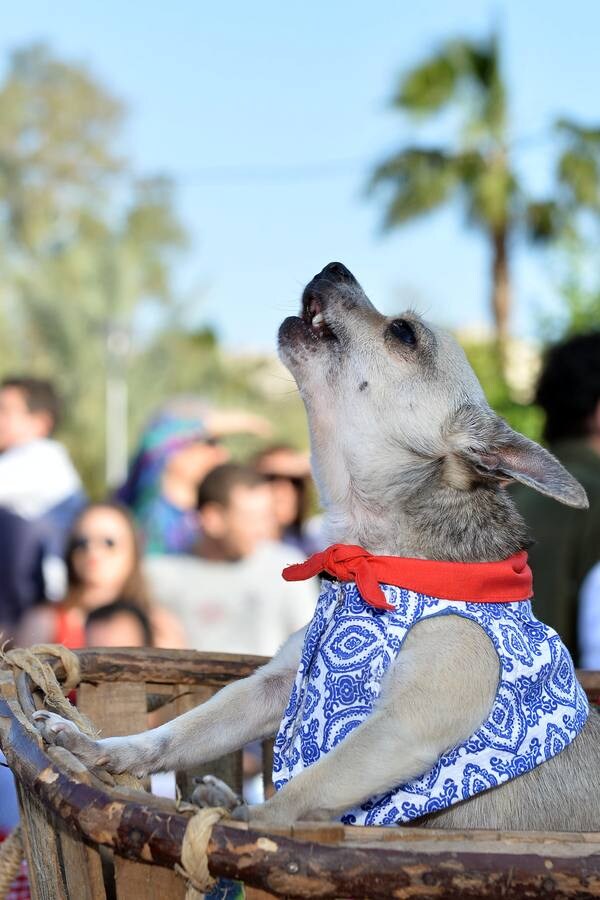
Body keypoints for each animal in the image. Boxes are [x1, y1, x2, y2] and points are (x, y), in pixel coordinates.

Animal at [35, 262, 600, 828]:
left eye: (403, 333)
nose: (335, 266)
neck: (376, 559)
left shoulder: (401, 729)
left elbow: (301, 791)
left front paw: (244, 826)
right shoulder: (272, 685)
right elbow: (180, 733)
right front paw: (104, 750)